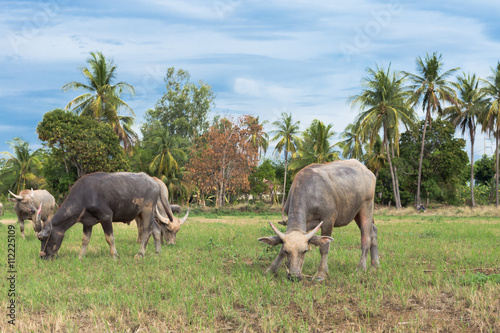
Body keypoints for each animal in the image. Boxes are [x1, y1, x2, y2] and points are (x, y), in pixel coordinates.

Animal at [36, 171, 173, 260]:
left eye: (45, 238)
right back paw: (157, 252)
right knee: (156, 229)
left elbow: (109, 238)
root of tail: (155, 183)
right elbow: (85, 240)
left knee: (146, 230)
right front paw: (81, 256)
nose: (43, 256)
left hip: (147, 210)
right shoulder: (87, 222)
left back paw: (140, 254)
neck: (84, 196)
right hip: (142, 213)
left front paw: (114, 255)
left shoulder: (106, 216)